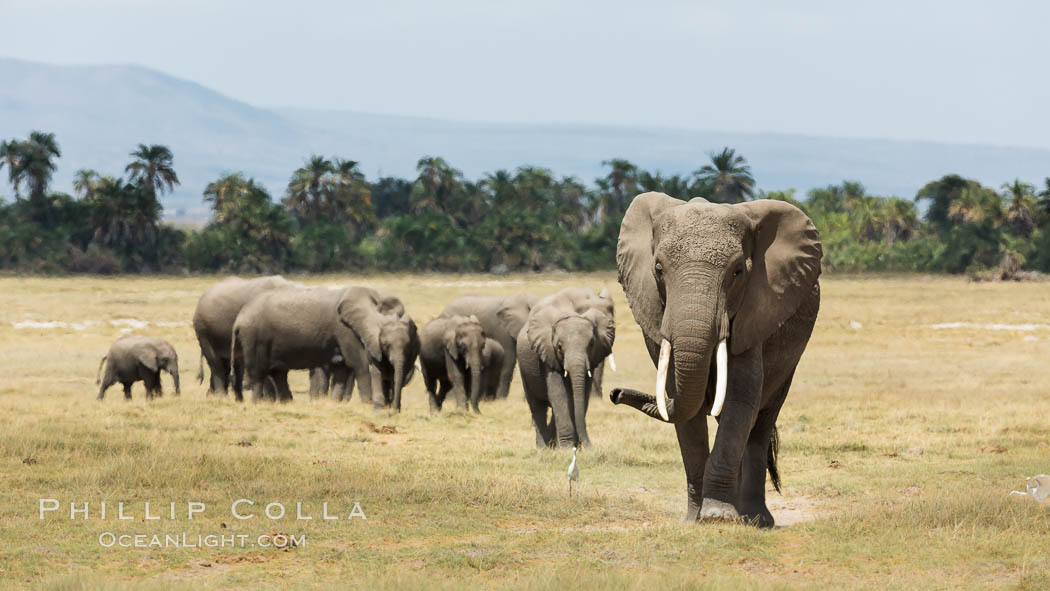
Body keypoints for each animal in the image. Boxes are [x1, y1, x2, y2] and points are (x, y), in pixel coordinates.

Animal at [233, 283, 417, 409]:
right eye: (386, 343)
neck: (374, 298)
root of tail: (239, 318)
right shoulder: (344, 329)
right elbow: (360, 364)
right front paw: (367, 404)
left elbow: (343, 368)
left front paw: (335, 403)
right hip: (254, 338)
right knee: (259, 371)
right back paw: (257, 404)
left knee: (278, 373)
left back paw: (287, 403)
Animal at [516, 287, 613, 449]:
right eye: (560, 347)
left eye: (591, 344)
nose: (589, 447)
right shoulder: (548, 353)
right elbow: (559, 394)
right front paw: (567, 449)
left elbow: (581, 395)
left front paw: (574, 447)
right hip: (525, 369)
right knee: (537, 407)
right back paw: (543, 448)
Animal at [613, 193, 823, 526]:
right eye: (658, 269)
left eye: (738, 272)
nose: (615, 393)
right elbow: (683, 406)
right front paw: (695, 520)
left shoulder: (755, 311)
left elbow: (740, 398)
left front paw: (717, 517)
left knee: (760, 424)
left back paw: (755, 519)